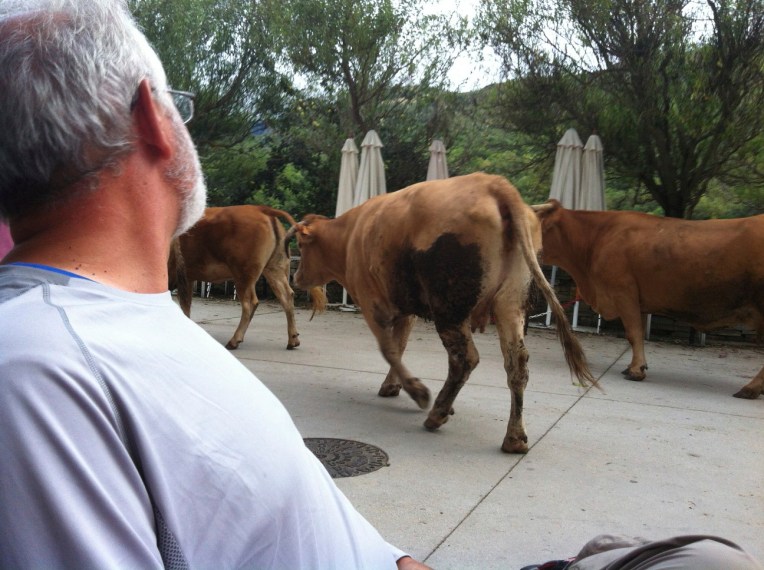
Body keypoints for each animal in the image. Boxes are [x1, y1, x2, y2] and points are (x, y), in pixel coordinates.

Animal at [169, 205, 326, 350]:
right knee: (286, 296)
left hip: (243, 275)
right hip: (274, 269)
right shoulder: (186, 278)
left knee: (250, 303)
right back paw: (292, 340)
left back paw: (234, 340)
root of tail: (262, 209)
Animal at [289, 173, 596, 453]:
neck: (351, 235)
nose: (296, 277)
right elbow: (398, 347)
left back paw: (437, 412)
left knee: (465, 359)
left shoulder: (372, 303)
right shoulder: (406, 311)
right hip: (511, 304)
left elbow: (388, 349)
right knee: (517, 363)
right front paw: (393, 386)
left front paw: (417, 391)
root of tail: (493, 184)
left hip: (450, 310)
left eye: (301, 246)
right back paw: (514, 438)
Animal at [532, 199, 764, 399]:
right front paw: (635, 365)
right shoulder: (638, 302)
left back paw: (750, 389)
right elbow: (639, 334)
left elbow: (633, 334)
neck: (596, 237)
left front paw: (636, 370)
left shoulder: (624, 293)